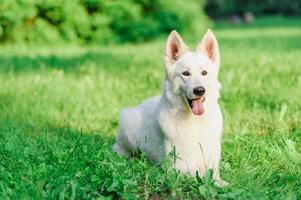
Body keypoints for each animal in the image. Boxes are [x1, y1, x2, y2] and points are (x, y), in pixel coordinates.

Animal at [112, 29, 225, 186]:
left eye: (204, 73)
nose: (199, 90)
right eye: (185, 73)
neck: (195, 122)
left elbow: (215, 177)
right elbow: (199, 177)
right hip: (128, 123)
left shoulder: (212, 164)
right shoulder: (177, 169)